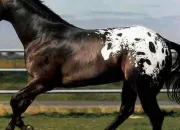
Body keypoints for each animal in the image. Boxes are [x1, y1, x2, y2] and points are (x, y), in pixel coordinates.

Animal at [0, 0, 180, 130]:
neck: (42, 36)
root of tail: (163, 41)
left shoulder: (43, 82)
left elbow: (14, 100)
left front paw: (26, 126)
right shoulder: (34, 81)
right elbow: (20, 106)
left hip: (144, 87)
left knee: (155, 116)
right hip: (130, 83)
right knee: (126, 110)